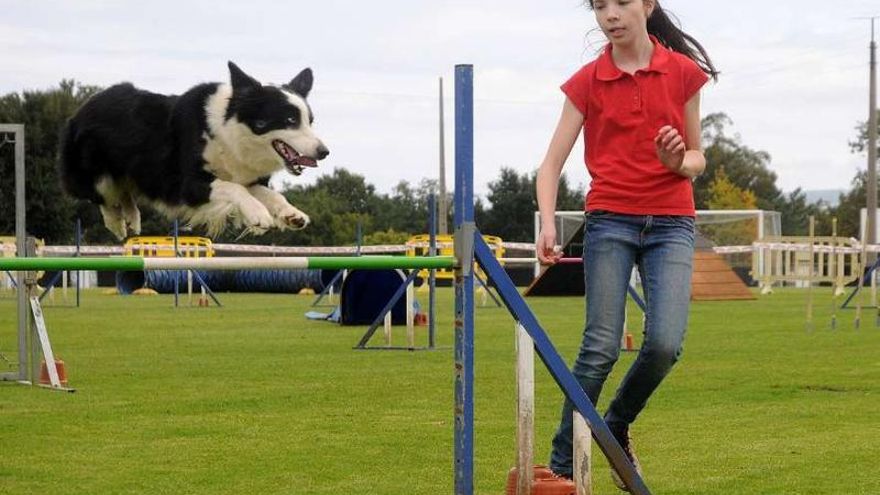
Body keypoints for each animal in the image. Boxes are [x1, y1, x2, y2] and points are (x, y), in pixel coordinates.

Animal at [58, 62, 328, 240]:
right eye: (290, 120)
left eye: (310, 121)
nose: (324, 152)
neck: (230, 132)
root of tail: (82, 108)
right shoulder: (187, 185)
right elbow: (235, 189)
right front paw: (258, 215)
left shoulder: (244, 175)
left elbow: (266, 193)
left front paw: (291, 214)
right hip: (95, 173)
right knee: (103, 196)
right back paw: (116, 223)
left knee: (124, 193)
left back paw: (132, 219)